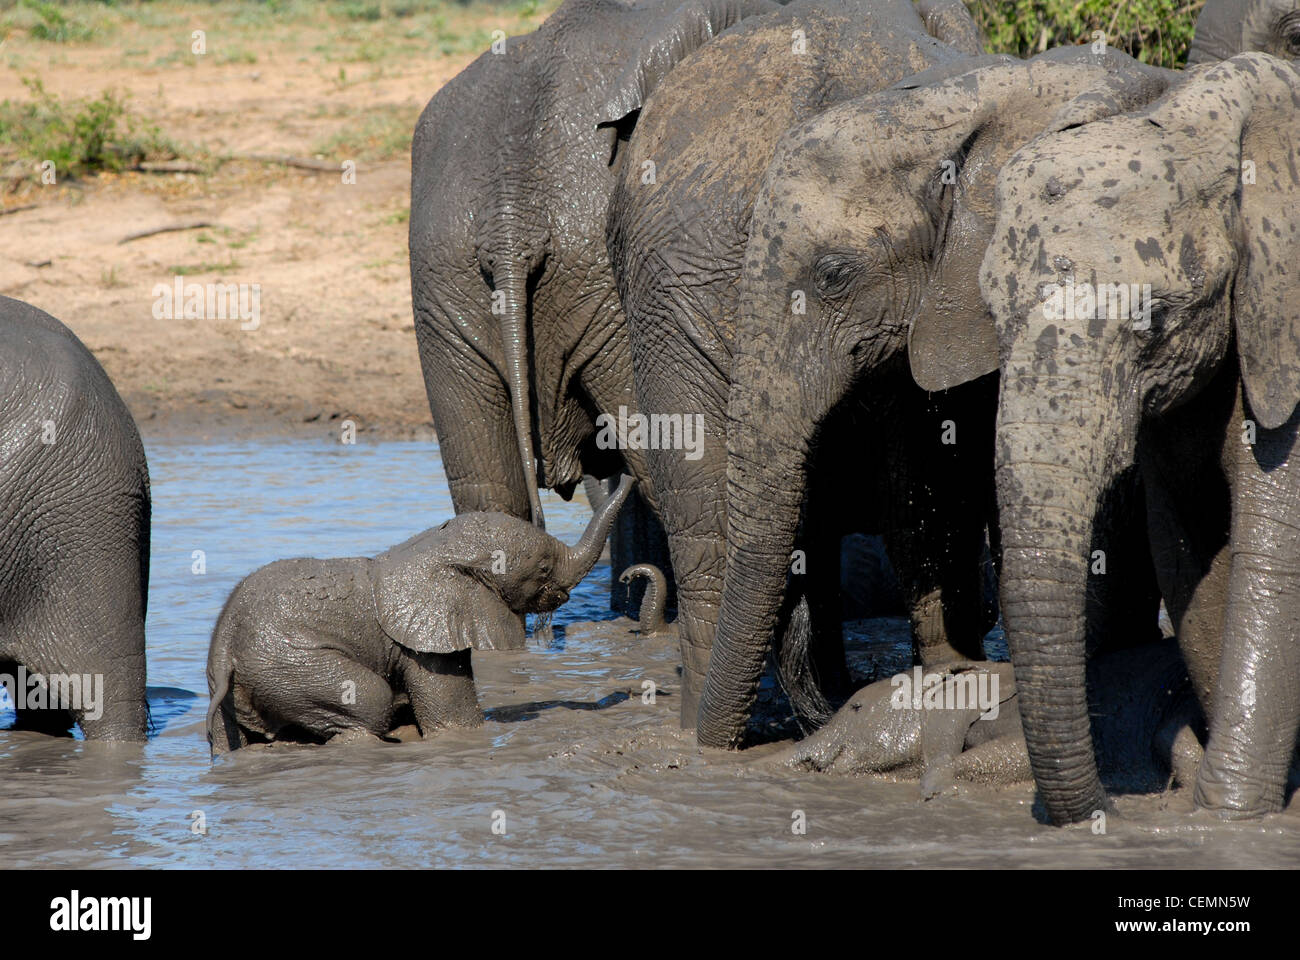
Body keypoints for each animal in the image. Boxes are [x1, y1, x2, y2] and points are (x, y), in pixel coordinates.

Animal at [206, 477, 634, 754]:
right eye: (543, 569)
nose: (627, 474)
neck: (430, 545)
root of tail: (226, 642)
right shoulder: (427, 643)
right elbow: (455, 722)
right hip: (288, 664)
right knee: (370, 699)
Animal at [979, 52, 1300, 822]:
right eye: (992, 316)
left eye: (1153, 321)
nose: (1108, 807)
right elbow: (1191, 555)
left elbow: (1276, 562)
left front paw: (1232, 815)